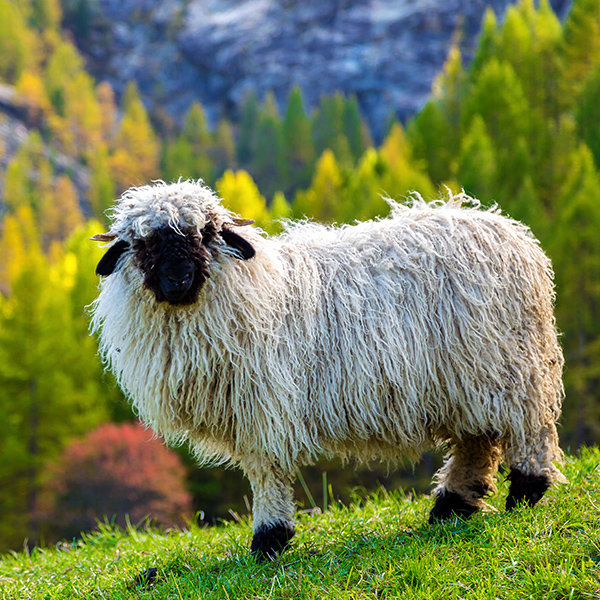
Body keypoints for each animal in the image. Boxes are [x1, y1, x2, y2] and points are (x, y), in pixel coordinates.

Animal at [89, 180, 564, 560]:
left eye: (205, 234)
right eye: (142, 243)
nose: (179, 279)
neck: (248, 288)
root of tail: (510, 232)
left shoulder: (264, 409)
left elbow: (266, 474)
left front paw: (268, 541)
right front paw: (270, 540)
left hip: (512, 366)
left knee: (530, 428)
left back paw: (525, 491)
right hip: (468, 381)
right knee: (476, 441)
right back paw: (451, 508)